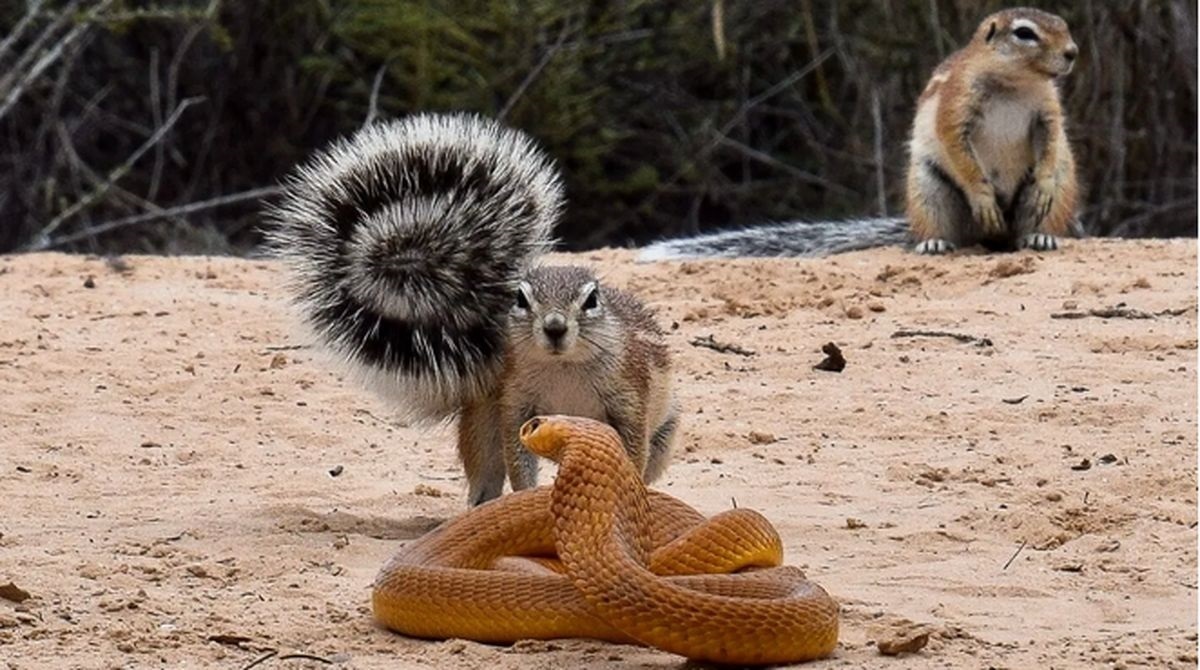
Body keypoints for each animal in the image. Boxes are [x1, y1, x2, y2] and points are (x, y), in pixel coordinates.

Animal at [266, 112, 676, 506]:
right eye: (520, 299)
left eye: (591, 300)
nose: (555, 327)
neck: (563, 369)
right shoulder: (516, 405)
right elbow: (518, 459)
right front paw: (528, 498)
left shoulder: (629, 398)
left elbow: (631, 452)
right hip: (482, 425)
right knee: (486, 477)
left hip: (663, 437)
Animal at [643, 8, 1084, 260]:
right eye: (1025, 33)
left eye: (1063, 26)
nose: (1072, 53)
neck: (1015, 84)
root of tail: (993, 233)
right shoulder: (955, 106)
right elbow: (957, 147)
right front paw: (981, 194)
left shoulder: (1047, 111)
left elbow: (1051, 141)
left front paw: (1043, 177)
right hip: (930, 187)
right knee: (947, 229)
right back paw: (936, 242)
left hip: (1057, 194)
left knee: (1034, 220)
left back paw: (1039, 238)